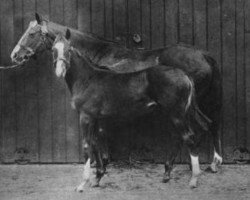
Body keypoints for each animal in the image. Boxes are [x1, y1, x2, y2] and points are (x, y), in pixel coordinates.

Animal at [9, 12, 221, 189]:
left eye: (32, 33)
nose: (15, 55)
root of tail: (203, 55)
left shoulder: (94, 115)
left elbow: (96, 140)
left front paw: (98, 168)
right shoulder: (100, 115)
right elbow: (98, 138)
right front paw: (99, 170)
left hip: (180, 110)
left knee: (190, 133)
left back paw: (195, 170)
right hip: (189, 107)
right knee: (205, 125)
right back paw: (188, 168)